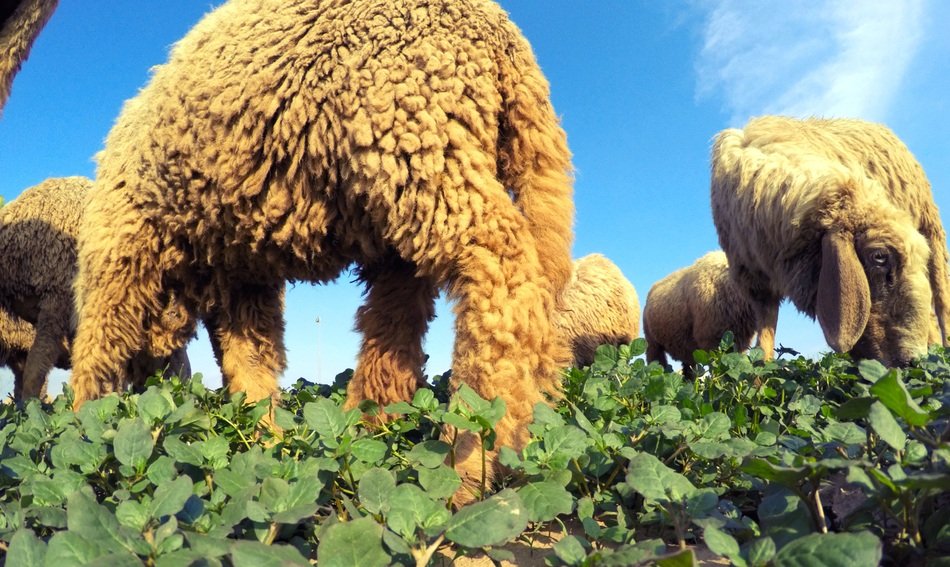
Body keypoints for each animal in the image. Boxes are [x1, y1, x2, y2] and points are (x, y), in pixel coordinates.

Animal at [68, 0, 574, 503]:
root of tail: (502, 38)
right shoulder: (242, 276)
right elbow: (250, 360)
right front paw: (262, 441)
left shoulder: (121, 248)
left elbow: (97, 353)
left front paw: (81, 428)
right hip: (419, 196)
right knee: (403, 325)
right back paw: (376, 433)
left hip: (417, 140)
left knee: (501, 267)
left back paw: (467, 462)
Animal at [711, 115, 950, 367]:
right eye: (879, 257)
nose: (912, 361)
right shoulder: (757, 285)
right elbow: (764, 340)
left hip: (931, 229)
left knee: (942, 305)